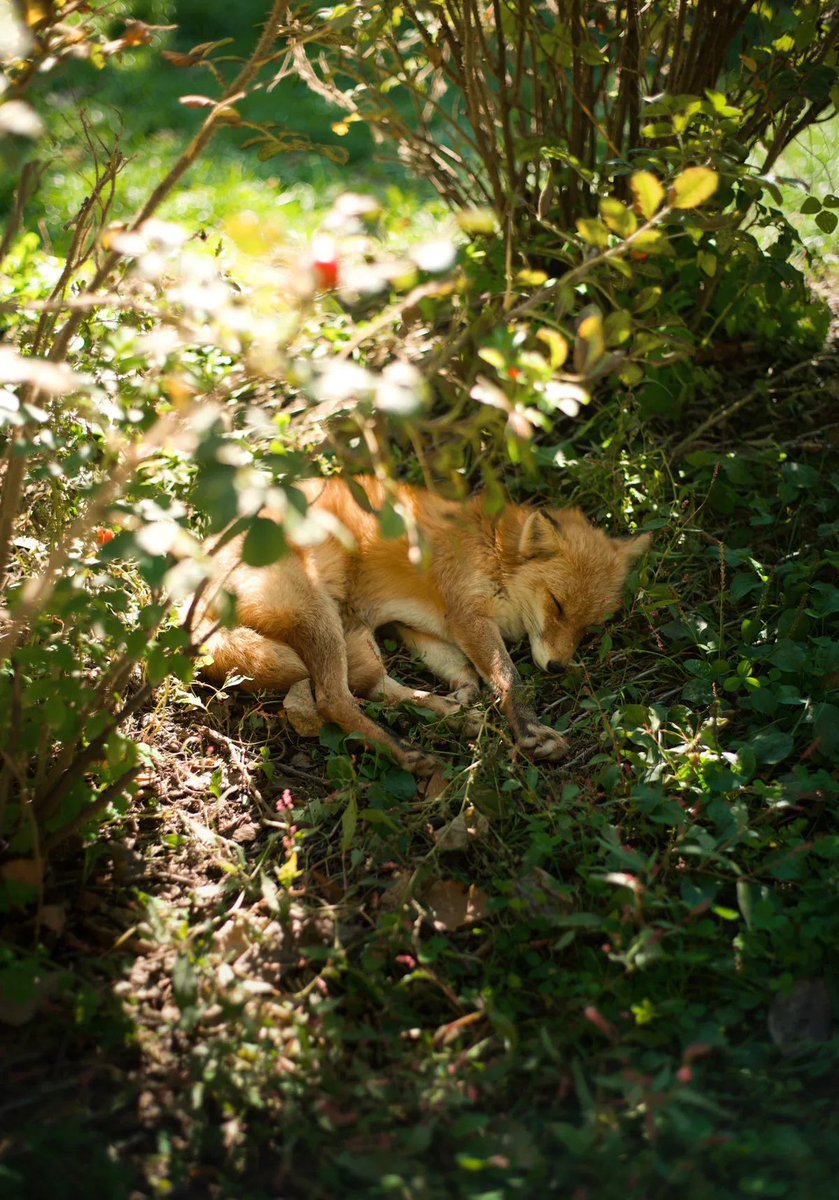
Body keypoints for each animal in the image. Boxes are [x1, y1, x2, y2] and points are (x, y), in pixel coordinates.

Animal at [196, 476, 649, 774]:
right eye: (557, 606)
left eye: (588, 627)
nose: (557, 667)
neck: (492, 548)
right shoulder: (468, 614)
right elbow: (509, 677)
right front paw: (530, 730)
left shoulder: (422, 627)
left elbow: (465, 674)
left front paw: (464, 697)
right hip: (317, 614)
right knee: (333, 699)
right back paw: (405, 752)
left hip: (353, 633)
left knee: (376, 688)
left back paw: (451, 715)